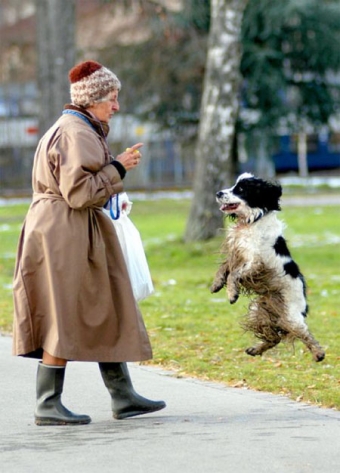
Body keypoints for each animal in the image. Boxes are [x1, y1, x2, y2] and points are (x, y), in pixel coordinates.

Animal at [211, 173, 326, 362]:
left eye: (241, 189)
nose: (218, 193)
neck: (252, 220)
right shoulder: (237, 253)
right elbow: (224, 269)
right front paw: (216, 284)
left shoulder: (254, 261)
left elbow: (234, 274)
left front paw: (232, 294)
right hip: (259, 311)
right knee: (274, 337)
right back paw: (255, 349)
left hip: (291, 316)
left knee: (304, 333)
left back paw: (319, 354)